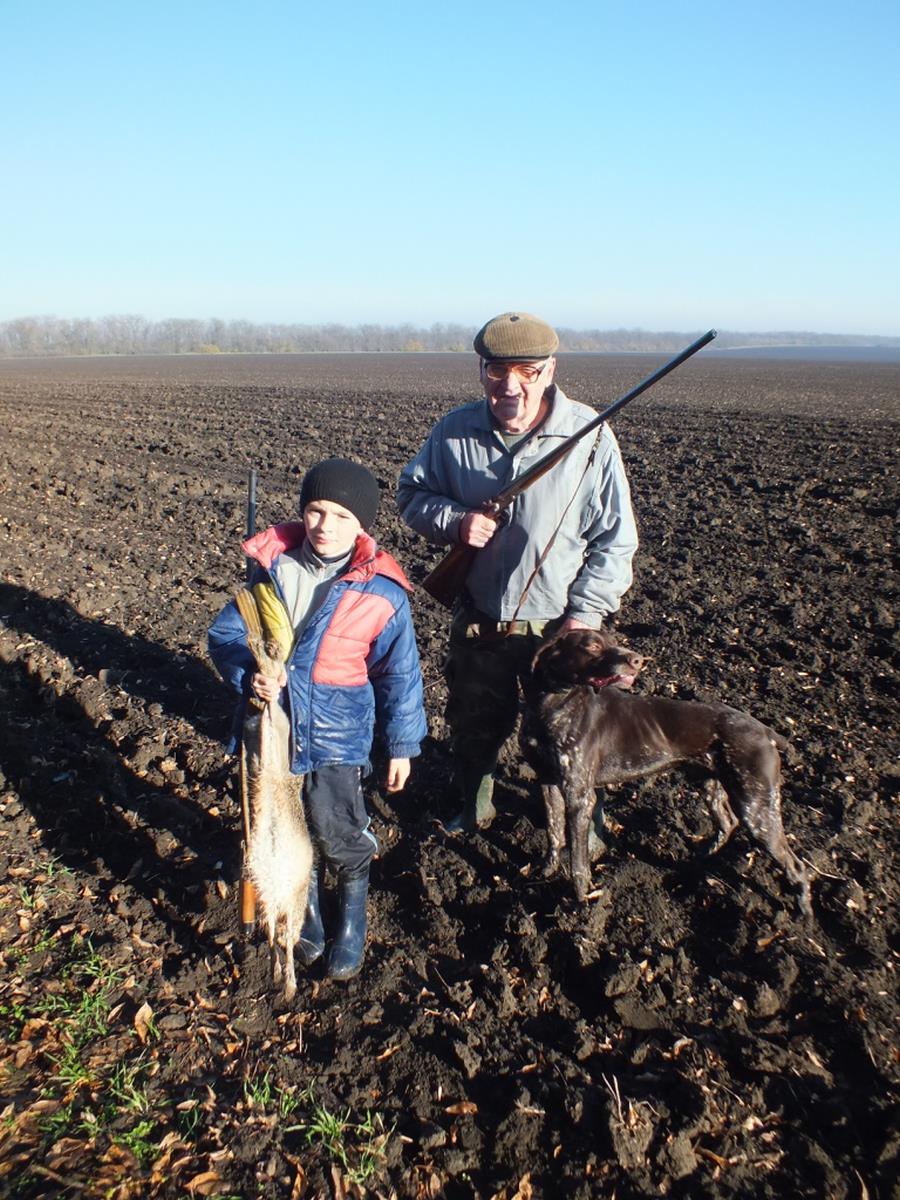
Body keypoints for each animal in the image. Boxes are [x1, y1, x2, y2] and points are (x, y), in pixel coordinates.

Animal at [520, 629, 812, 916]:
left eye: (614, 640)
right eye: (591, 645)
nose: (638, 660)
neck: (552, 705)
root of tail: (765, 731)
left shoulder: (579, 796)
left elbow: (578, 862)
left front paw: (581, 903)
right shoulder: (547, 782)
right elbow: (553, 833)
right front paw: (546, 870)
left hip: (757, 807)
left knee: (796, 865)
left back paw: (803, 914)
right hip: (711, 784)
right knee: (727, 822)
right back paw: (701, 859)